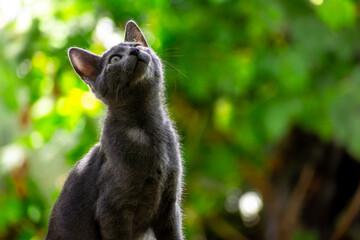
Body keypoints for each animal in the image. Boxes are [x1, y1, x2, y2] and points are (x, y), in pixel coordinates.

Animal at [45, 20, 184, 240]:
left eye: (139, 46)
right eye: (115, 59)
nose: (136, 50)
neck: (145, 128)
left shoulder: (170, 204)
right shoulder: (112, 210)